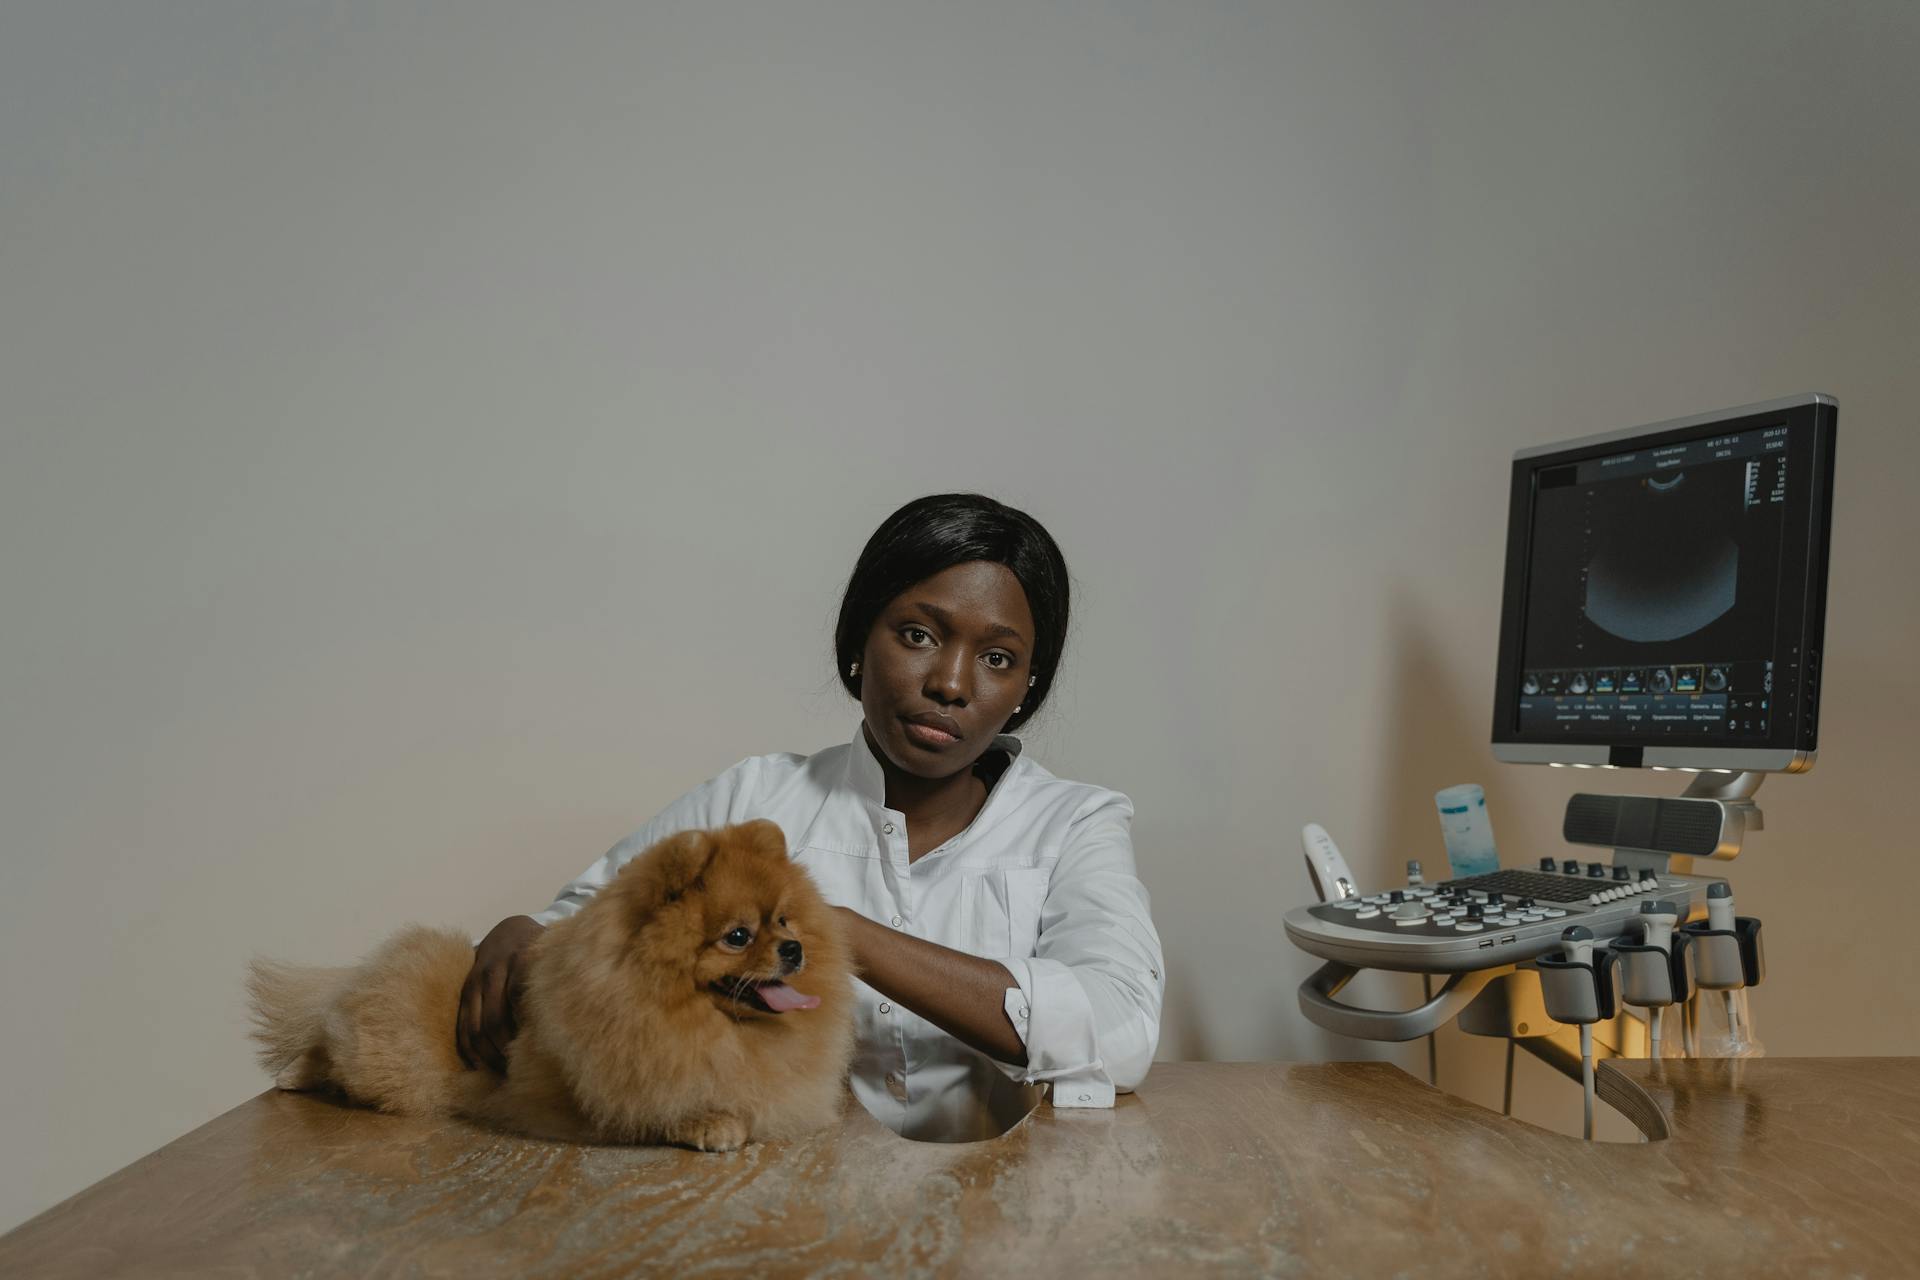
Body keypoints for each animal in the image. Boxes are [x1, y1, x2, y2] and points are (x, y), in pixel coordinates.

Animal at [247, 825, 856, 1159]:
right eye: (738, 936)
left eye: (785, 920)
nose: (794, 949)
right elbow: (663, 1105)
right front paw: (711, 1123)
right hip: (391, 1055)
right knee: (333, 1043)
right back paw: (295, 1072)